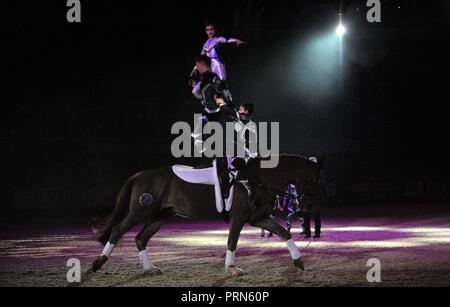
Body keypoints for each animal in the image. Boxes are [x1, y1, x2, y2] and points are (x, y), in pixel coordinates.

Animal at [92, 155, 324, 276]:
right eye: (314, 179)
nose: (309, 205)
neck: (255, 179)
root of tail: (141, 174)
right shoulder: (239, 218)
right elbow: (232, 241)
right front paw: (231, 267)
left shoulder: (257, 218)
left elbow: (284, 233)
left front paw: (299, 262)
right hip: (139, 212)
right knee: (117, 231)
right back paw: (98, 263)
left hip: (159, 217)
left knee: (141, 238)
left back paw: (149, 268)